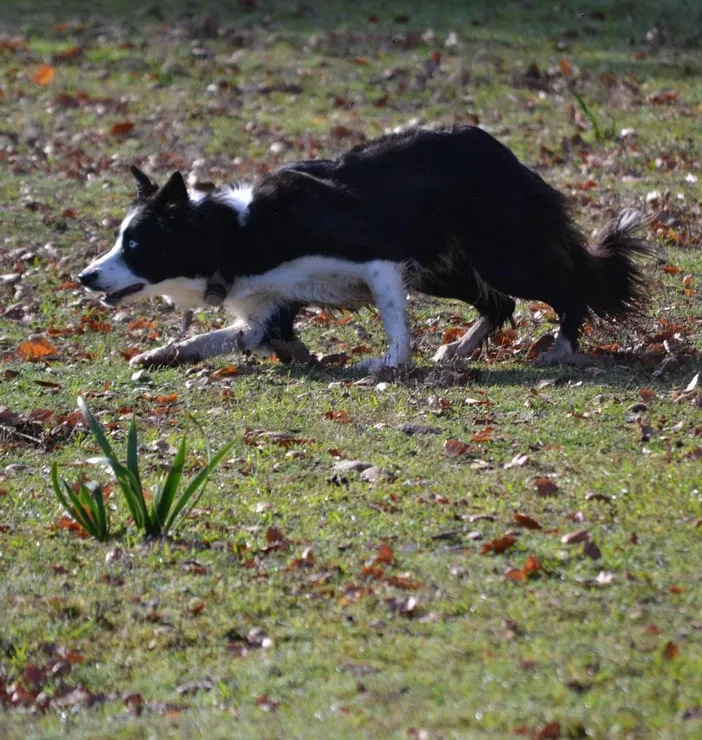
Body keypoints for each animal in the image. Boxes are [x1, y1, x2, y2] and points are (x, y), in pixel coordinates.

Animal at [78, 126, 656, 372]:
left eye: (135, 243)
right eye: (118, 239)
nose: (84, 277)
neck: (234, 234)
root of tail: (500, 151)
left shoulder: (378, 258)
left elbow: (395, 324)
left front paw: (388, 365)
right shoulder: (267, 306)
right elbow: (225, 339)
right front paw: (159, 354)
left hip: (500, 254)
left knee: (567, 288)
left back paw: (562, 345)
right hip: (443, 268)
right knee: (499, 303)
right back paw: (461, 348)